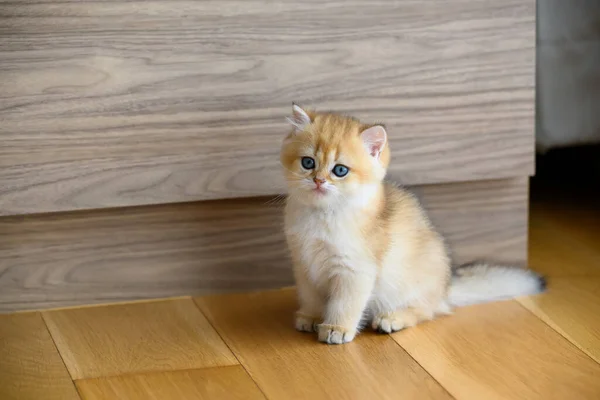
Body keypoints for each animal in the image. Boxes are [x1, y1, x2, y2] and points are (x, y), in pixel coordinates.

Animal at [278, 104, 548, 346]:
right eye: (308, 163)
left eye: (340, 170)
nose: (319, 181)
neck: (321, 216)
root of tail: (446, 289)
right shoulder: (304, 265)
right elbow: (311, 297)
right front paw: (311, 317)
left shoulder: (354, 271)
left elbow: (345, 304)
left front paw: (336, 328)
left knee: (427, 311)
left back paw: (392, 318)